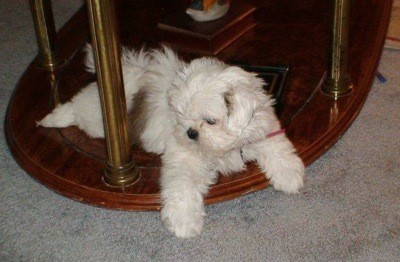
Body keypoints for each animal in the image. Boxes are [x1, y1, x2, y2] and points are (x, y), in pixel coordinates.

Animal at [39, 46, 304, 238]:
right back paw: (53, 118)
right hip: (97, 117)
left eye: (210, 121)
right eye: (180, 115)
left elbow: (276, 147)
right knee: (75, 108)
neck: (223, 145)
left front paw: (289, 176)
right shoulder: (184, 157)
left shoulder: (263, 127)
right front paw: (184, 221)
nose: (190, 133)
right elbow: (182, 185)